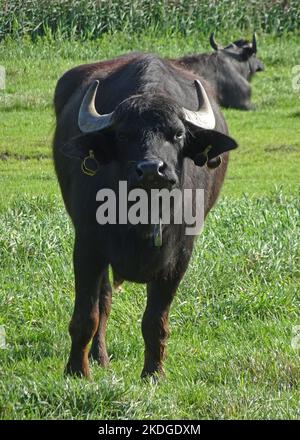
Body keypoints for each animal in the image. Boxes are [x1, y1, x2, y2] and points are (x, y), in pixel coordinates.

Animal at [52, 54, 238, 378]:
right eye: (124, 135)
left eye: (178, 134)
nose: (152, 169)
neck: (142, 213)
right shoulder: (88, 246)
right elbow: (87, 315)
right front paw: (76, 371)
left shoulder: (178, 256)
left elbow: (155, 321)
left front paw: (153, 374)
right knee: (104, 302)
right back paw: (100, 357)